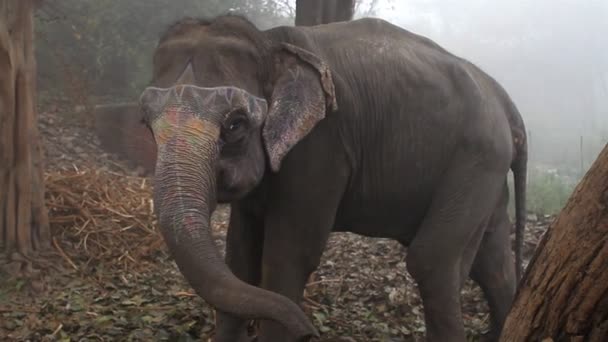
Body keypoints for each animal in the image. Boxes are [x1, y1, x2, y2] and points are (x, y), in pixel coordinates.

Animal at [129, 14, 528, 342]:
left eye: (236, 124)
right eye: (145, 124)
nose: (310, 332)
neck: (270, 42)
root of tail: (505, 101)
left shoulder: (322, 147)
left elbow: (288, 257)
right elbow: (239, 256)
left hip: (476, 159)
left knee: (431, 260)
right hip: (484, 171)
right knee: (491, 261)